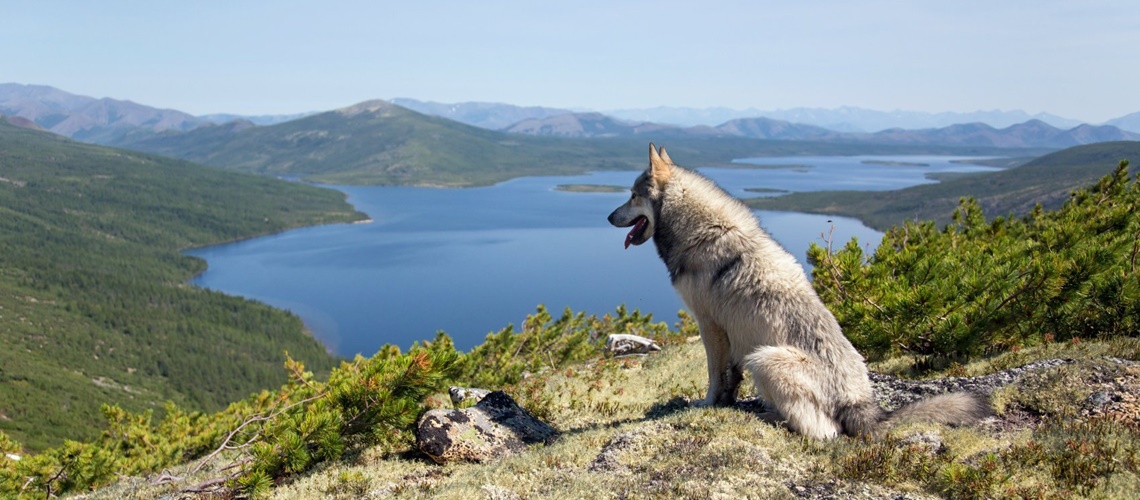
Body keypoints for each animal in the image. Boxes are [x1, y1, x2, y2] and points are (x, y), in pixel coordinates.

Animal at [606, 144, 989, 437]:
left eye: (632, 196)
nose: (608, 217)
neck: (702, 231)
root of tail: (861, 405)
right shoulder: (729, 337)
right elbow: (730, 379)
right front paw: (726, 401)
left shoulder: (710, 326)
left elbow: (715, 376)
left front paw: (708, 404)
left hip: (764, 358)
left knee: (824, 431)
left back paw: (771, 417)